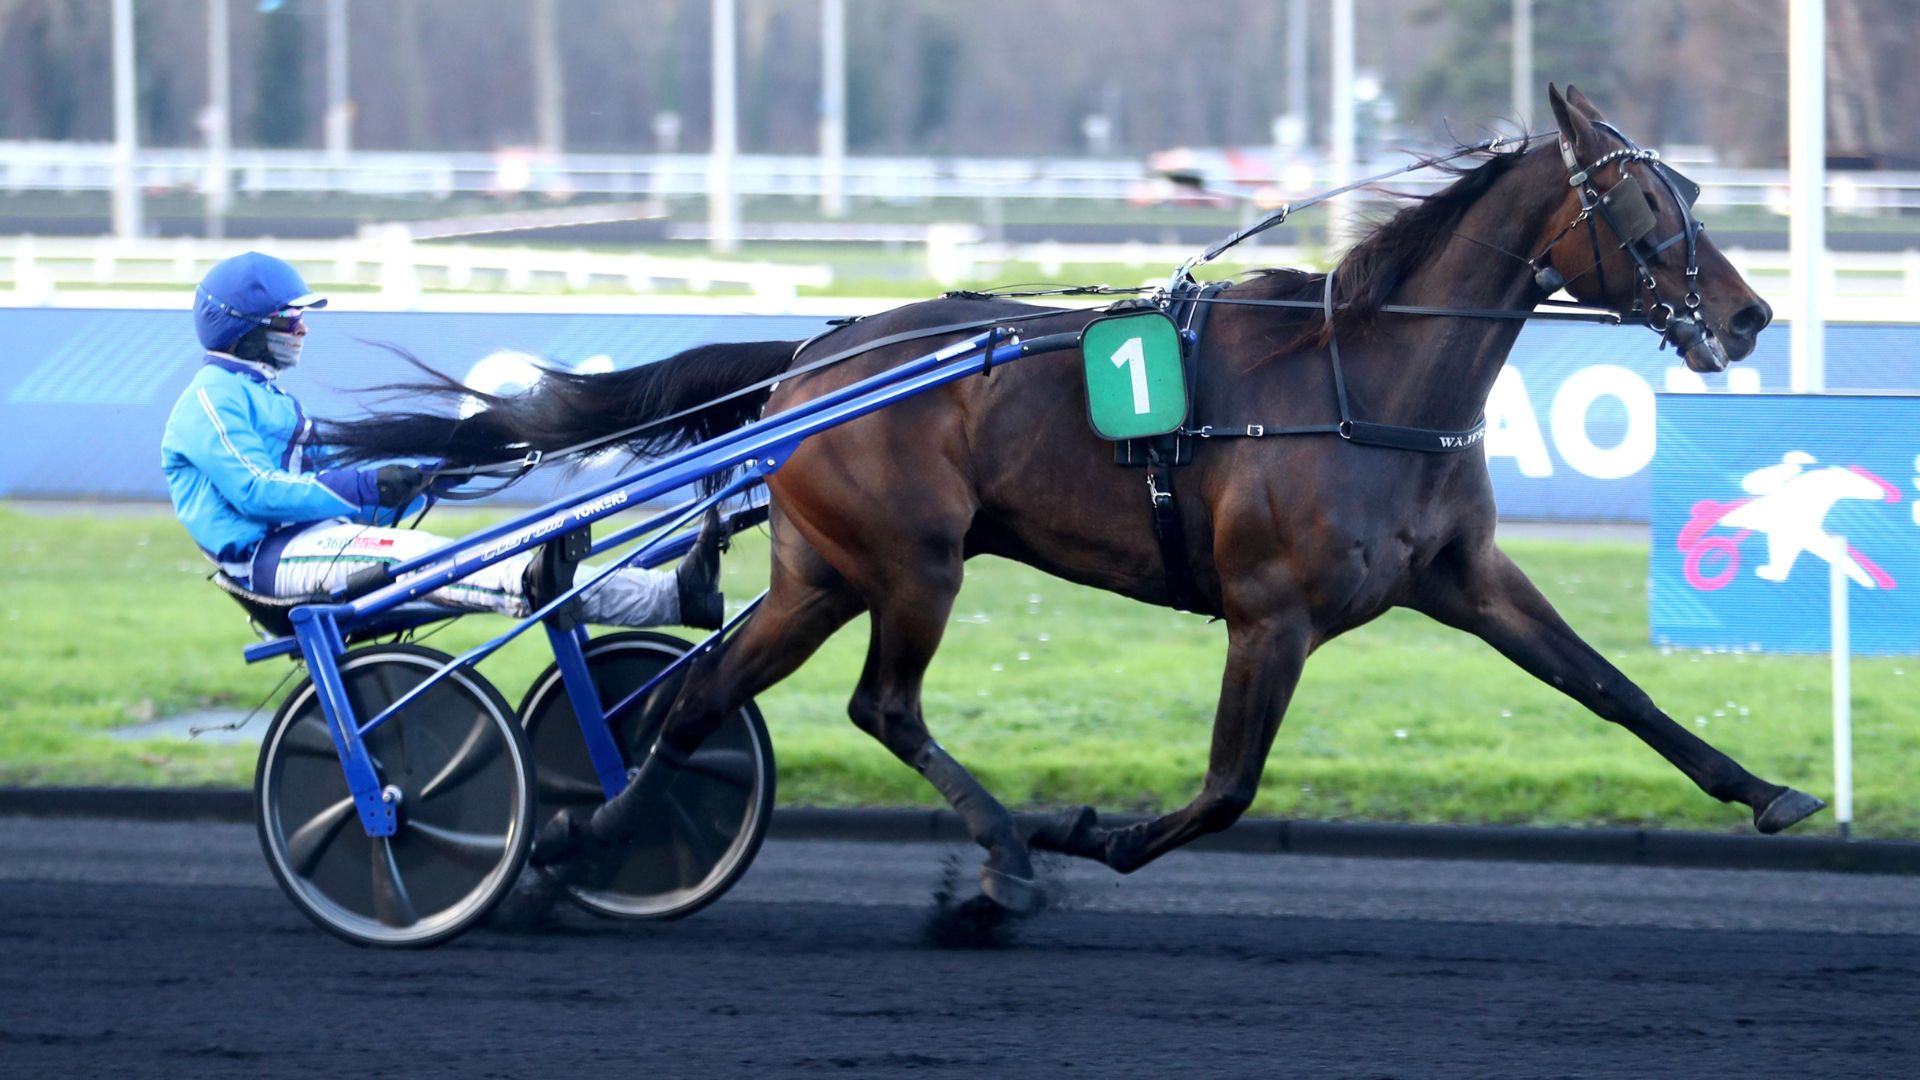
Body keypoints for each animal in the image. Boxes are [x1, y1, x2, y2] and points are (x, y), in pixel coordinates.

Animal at [325, 85, 1821, 913]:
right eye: (1646, 202)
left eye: (1691, 184)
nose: (1751, 316)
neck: (1369, 377)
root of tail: (818, 350)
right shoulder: (1270, 615)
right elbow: (1225, 789)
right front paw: (1081, 826)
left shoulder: (1465, 577)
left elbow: (1612, 689)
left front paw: (1770, 793)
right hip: (915, 563)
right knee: (878, 707)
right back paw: (999, 853)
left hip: (822, 571)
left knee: (696, 695)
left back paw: (590, 832)